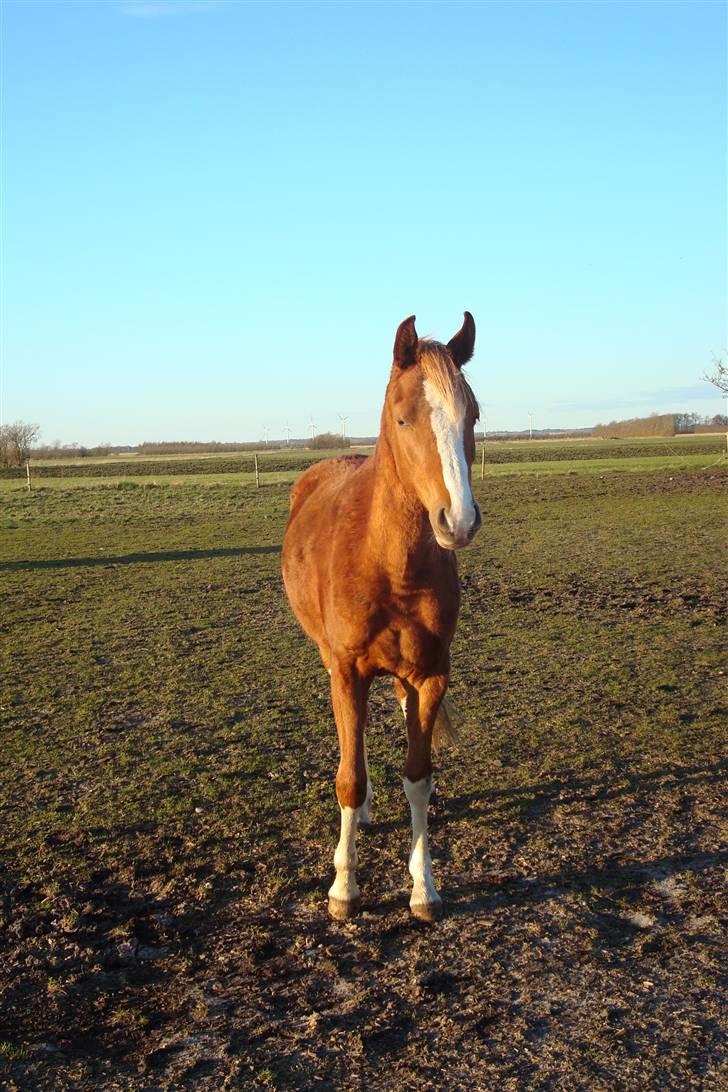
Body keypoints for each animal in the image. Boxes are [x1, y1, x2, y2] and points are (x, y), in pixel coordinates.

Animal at [281, 314, 480, 921]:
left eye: (473, 415)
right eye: (403, 417)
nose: (459, 521)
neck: (390, 564)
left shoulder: (431, 674)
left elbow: (418, 778)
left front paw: (423, 888)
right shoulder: (348, 670)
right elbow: (348, 777)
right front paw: (344, 887)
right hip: (335, 664)